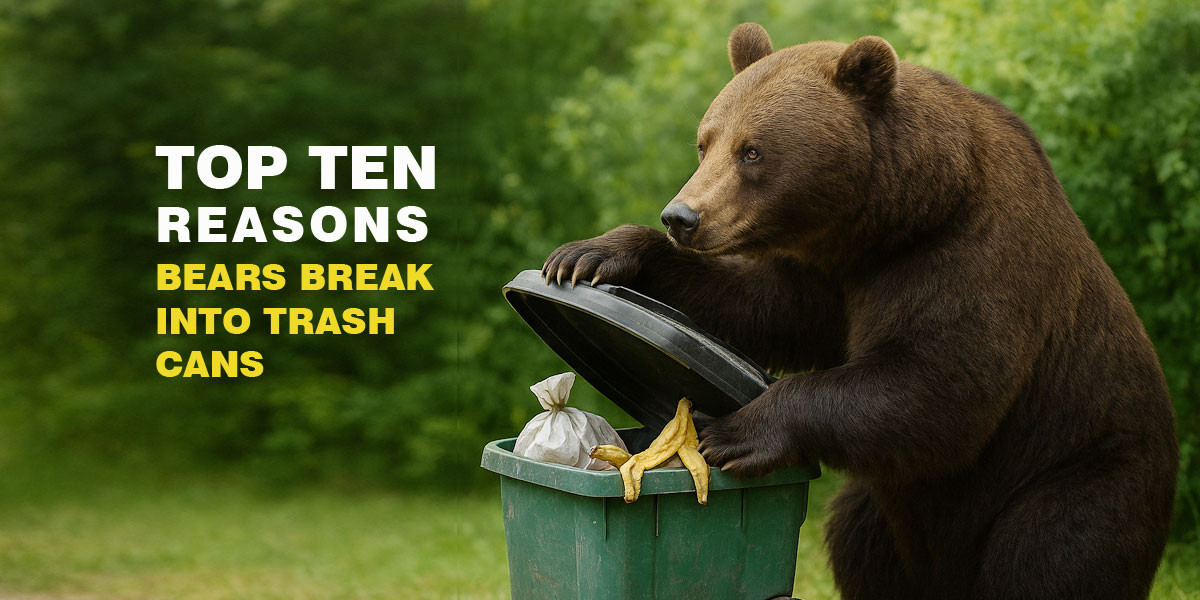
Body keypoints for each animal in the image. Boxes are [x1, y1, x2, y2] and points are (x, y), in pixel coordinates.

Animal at [542, 23, 1178, 600]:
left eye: (753, 150)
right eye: (706, 141)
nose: (683, 216)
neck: (898, 217)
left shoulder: (972, 256)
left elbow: (942, 383)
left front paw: (736, 433)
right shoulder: (830, 275)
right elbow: (763, 306)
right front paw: (591, 256)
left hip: (1078, 470)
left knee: (1052, 557)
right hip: (889, 517)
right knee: (861, 544)